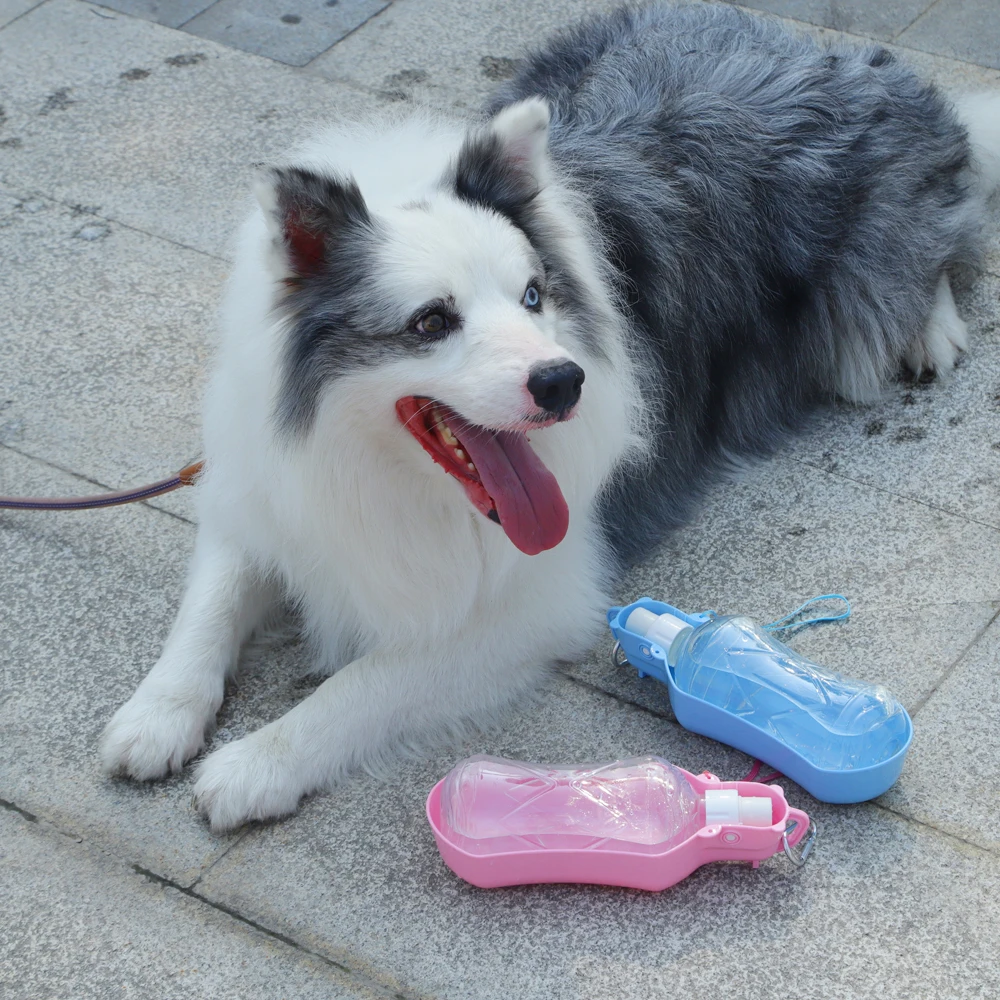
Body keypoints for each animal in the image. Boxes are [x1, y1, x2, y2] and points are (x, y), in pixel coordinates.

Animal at [100, 2, 1000, 831]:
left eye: (534, 295)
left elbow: (368, 680)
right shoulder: (263, 487)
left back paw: (932, 330)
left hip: (868, 282)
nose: (565, 382)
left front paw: (255, 763)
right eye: (431, 321)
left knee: (942, 241)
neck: (368, 458)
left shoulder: (539, 599)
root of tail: (840, 55)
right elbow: (209, 605)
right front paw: (155, 716)